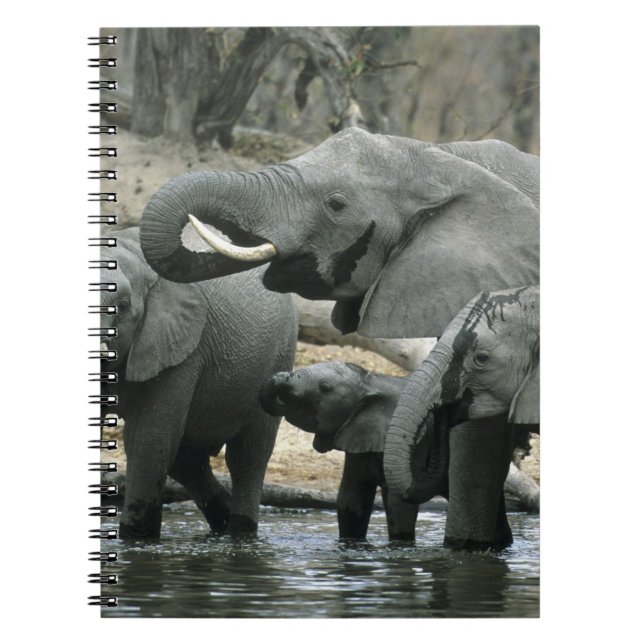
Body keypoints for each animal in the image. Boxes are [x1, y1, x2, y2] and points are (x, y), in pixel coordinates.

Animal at [100, 227, 298, 539]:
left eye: (122, 307)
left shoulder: (182, 348)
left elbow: (148, 439)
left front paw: (137, 540)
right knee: (188, 461)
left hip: (279, 354)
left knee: (247, 456)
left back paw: (241, 533)